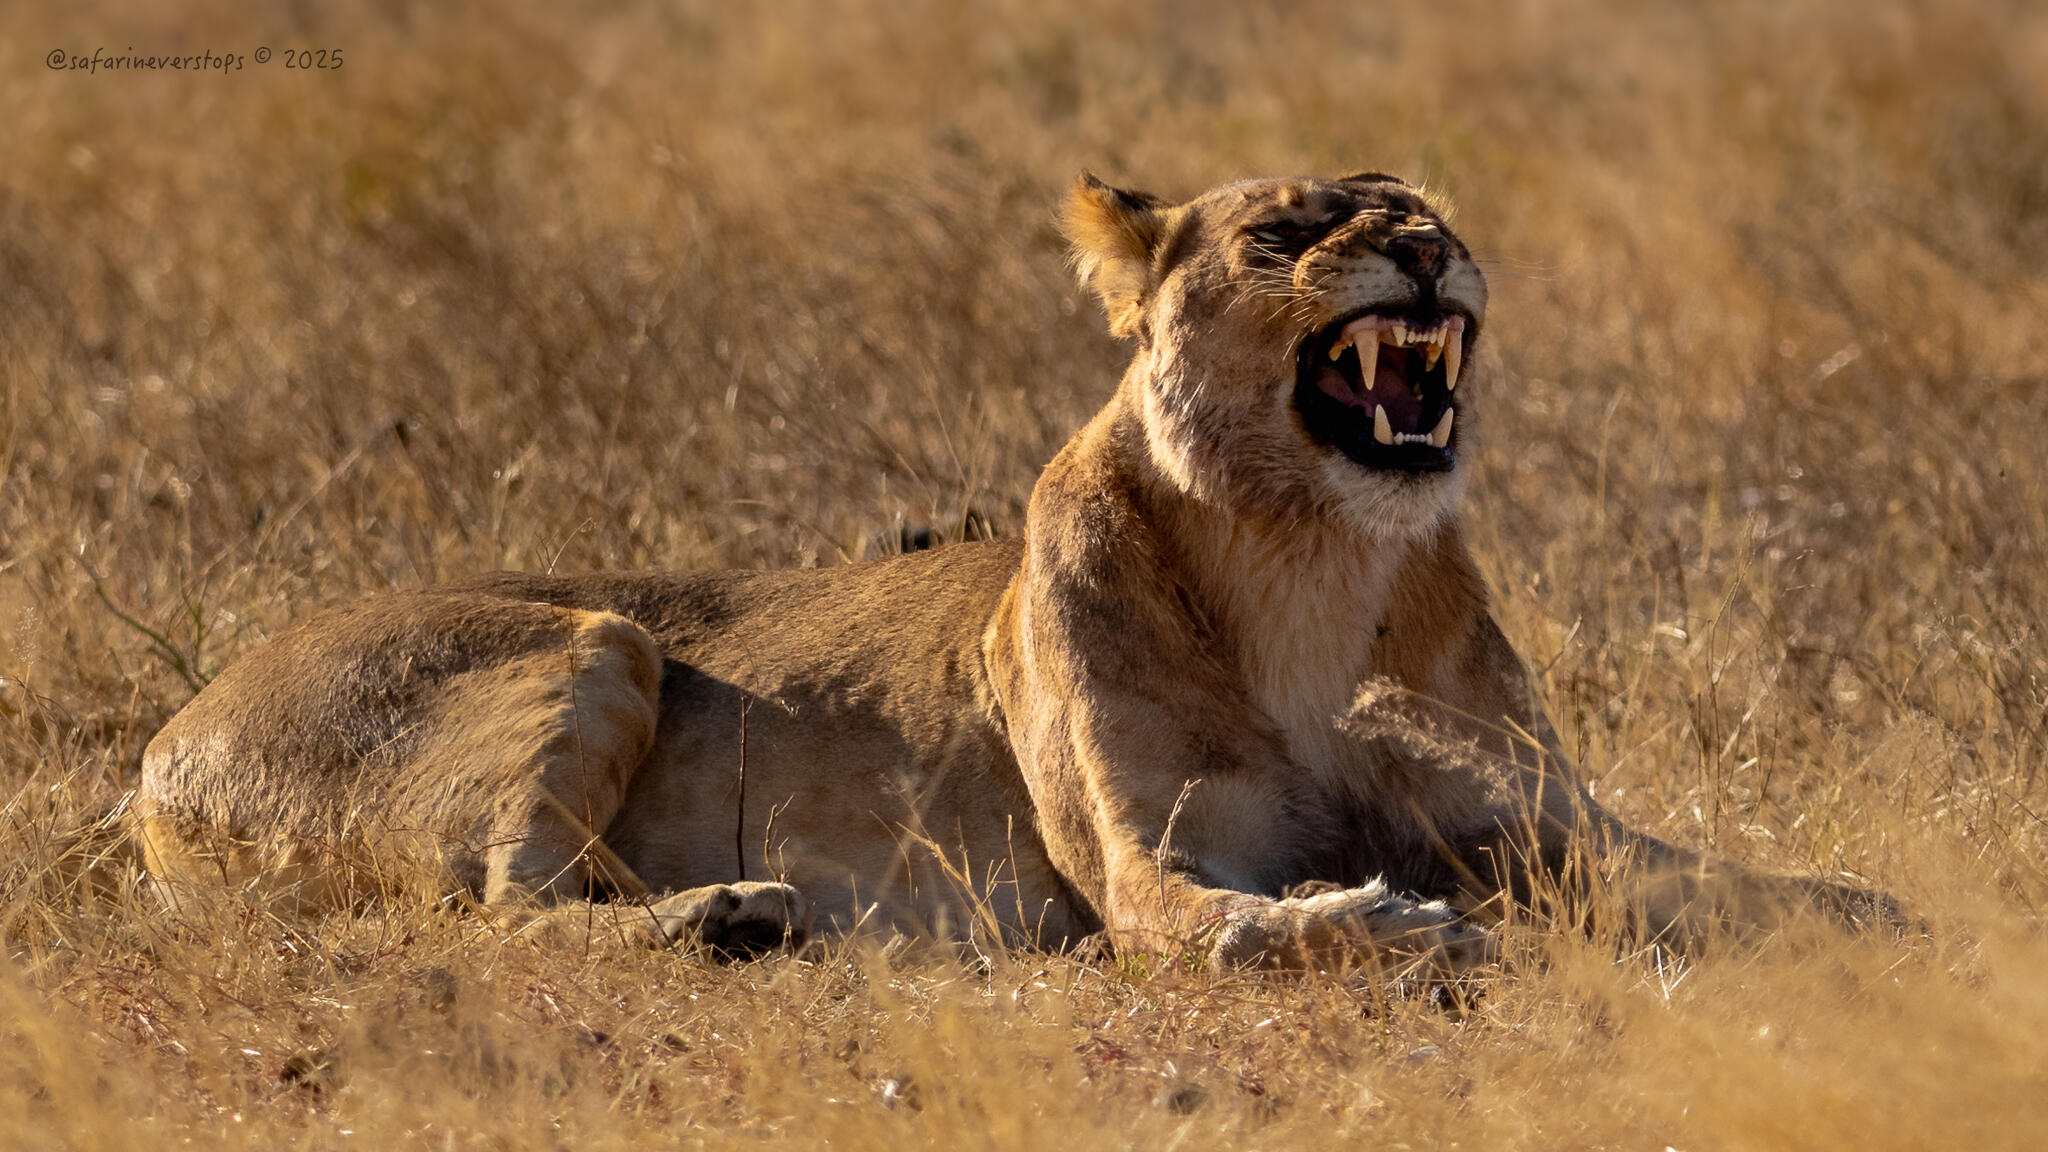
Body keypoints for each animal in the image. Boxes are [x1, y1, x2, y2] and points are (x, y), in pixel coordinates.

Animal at [134, 172, 1894, 972]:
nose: (1425, 245)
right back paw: (727, 915)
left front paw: (1878, 911)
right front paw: (1398, 926)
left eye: (1426, 205)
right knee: (495, 917)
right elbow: (1245, 927)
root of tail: (162, 744)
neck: (1312, 563)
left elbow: (1733, 879)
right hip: (598, 637)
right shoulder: (1135, 875)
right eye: (1284, 236)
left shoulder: (1551, 818)